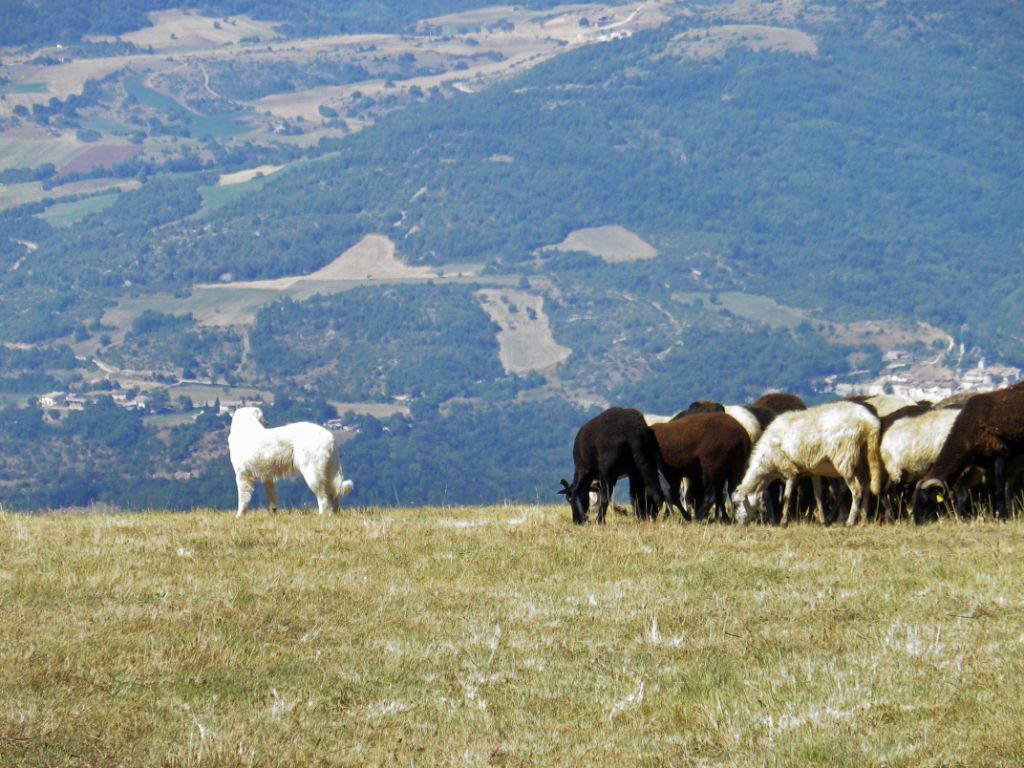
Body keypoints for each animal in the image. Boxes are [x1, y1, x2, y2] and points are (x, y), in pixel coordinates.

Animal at [228, 405, 356, 520]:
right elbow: (271, 498)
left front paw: (239, 515)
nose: (268, 423)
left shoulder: (242, 476)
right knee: (334, 495)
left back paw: (322, 515)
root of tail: (329, 436)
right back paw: (336, 513)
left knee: (323, 497)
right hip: (329, 472)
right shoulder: (267, 477)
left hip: (312, 473)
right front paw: (273, 514)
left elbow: (242, 498)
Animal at [733, 399, 884, 528]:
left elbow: (787, 497)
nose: (739, 525)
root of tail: (869, 422)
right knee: (866, 488)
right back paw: (863, 520)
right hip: (863, 460)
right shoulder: (814, 471)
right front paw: (823, 521)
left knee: (857, 490)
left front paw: (783, 522)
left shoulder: (789, 469)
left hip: (845, 457)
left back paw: (850, 522)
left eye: (737, 504)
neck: (767, 467)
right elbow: (818, 496)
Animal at [917, 382, 1024, 524]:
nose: (918, 523)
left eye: (926, 499)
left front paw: (1002, 517)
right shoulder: (985, 464)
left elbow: (999, 489)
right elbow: (991, 489)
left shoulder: (1000, 453)